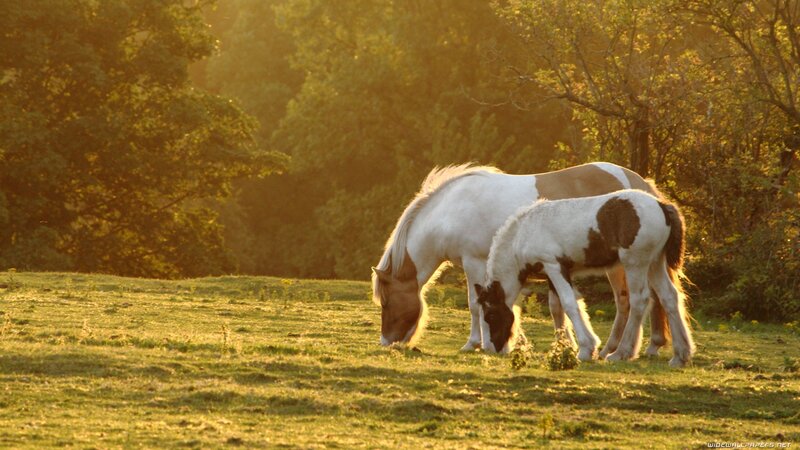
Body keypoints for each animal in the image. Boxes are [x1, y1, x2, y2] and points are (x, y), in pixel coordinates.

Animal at [372, 162, 673, 356]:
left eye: (386, 302)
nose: (386, 342)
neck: (451, 210)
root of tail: (639, 184)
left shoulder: (474, 262)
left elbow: (474, 304)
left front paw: (475, 343)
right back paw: (645, 346)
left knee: (629, 301)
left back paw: (619, 348)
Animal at [475, 189, 695, 367]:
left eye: (490, 315)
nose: (496, 346)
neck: (523, 232)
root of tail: (662, 205)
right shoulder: (555, 273)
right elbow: (559, 308)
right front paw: (568, 347)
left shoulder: (554, 266)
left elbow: (569, 304)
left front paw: (585, 349)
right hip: (655, 262)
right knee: (669, 297)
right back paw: (680, 355)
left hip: (635, 263)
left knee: (640, 300)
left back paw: (621, 353)